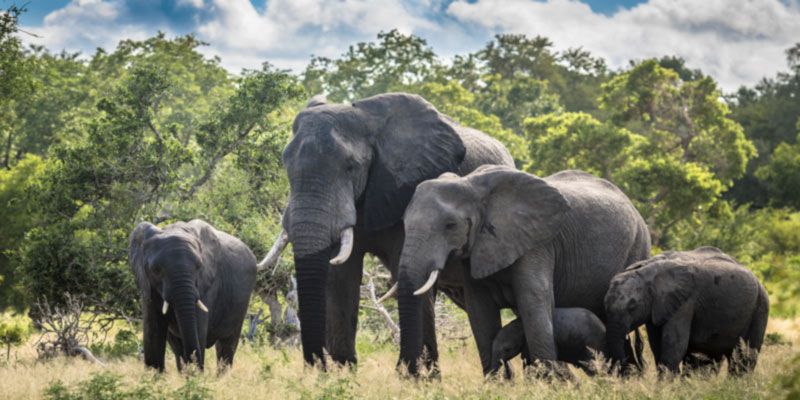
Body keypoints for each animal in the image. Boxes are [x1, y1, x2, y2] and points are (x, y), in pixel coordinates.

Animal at [129, 219, 257, 372]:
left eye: (199, 266)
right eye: (155, 269)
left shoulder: (207, 283)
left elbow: (198, 328)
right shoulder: (147, 284)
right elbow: (153, 332)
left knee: (226, 346)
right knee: (178, 348)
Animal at [259, 93, 514, 371]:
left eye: (351, 167)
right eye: (285, 164)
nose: (316, 366)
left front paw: (416, 377)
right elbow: (341, 276)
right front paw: (344, 372)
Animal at [397, 165, 651, 376]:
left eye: (450, 226)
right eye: (404, 224)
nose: (404, 372)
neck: (470, 184)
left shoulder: (538, 243)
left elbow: (533, 300)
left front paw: (548, 384)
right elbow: (480, 310)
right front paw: (499, 385)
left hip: (637, 247)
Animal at [604, 246, 769, 375]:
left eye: (632, 307)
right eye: (604, 304)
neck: (646, 270)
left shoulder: (684, 303)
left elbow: (674, 344)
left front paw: (664, 386)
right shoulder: (657, 307)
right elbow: (657, 344)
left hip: (760, 307)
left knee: (744, 357)